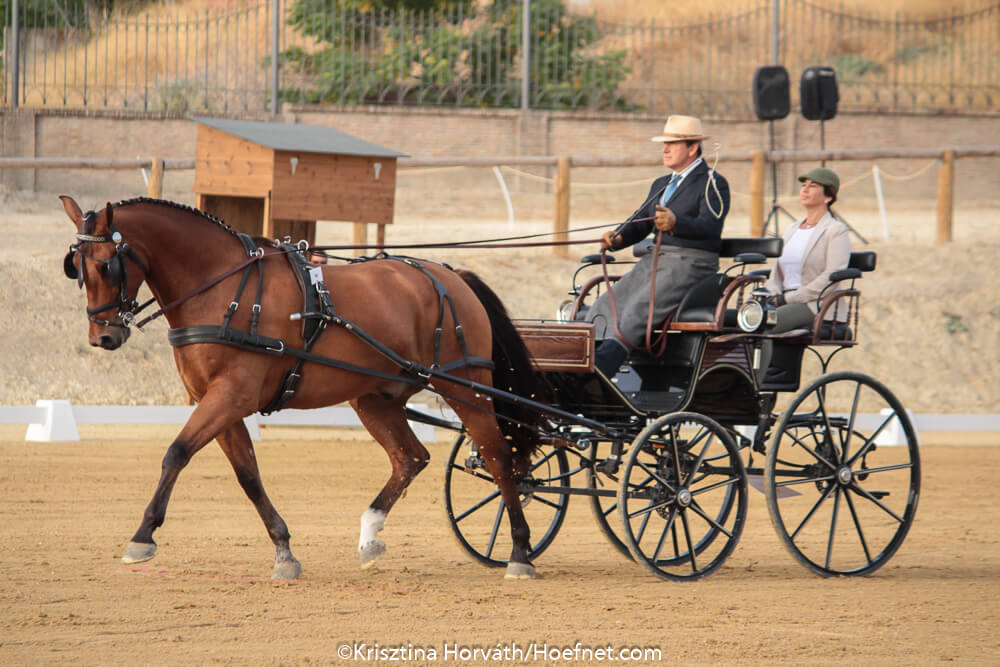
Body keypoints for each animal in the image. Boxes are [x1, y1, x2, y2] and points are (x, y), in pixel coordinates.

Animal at [60, 196, 548, 580]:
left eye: (106, 264)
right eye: (77, 269)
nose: (102, 337)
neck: (222, 286)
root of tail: (450, 276)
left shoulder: (230, 396)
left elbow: (176, 453)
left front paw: (143, 535)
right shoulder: (219, 402)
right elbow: (248, 475)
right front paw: (284, 551)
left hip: (466, 386)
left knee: (498, 459)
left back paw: (520, 553)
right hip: (376, 397)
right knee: (410, 457)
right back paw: (370, 536)